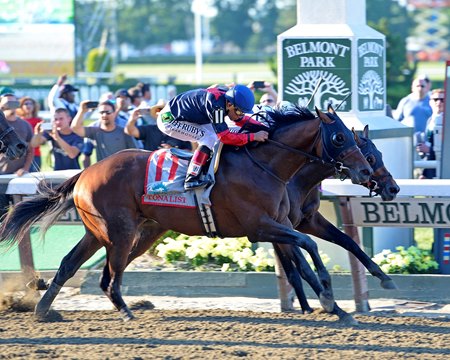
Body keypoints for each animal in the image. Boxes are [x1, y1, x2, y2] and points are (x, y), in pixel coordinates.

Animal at [0, 104, 372, 320]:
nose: (366, 172)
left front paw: (336, 306)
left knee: (71, 264)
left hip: (105, 231)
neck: (265, 165)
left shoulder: (281, 224)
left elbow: (305, 252)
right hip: (119, 231)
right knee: (110, 273)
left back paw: (45, 310)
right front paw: (329, 299)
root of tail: (87, 171)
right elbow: (308, 247)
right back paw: (124, 312)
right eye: (340, 137)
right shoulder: (261, 226)